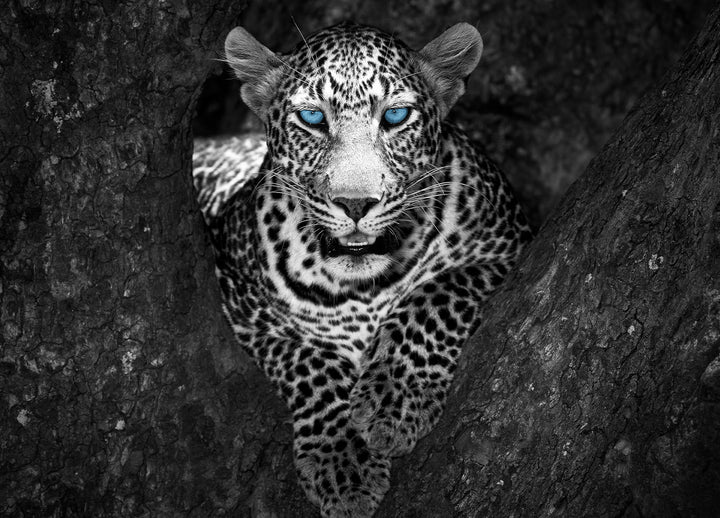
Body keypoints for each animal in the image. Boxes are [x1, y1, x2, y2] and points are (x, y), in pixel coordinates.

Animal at [192, 21, 532, 517]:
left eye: (395, 117)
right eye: (312, 119)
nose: (355, 204)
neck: (363, 287)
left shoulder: (509, 246)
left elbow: (436, 295)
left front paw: (394, 400)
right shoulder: (240, 306)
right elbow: (309, 360)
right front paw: (343, 461)